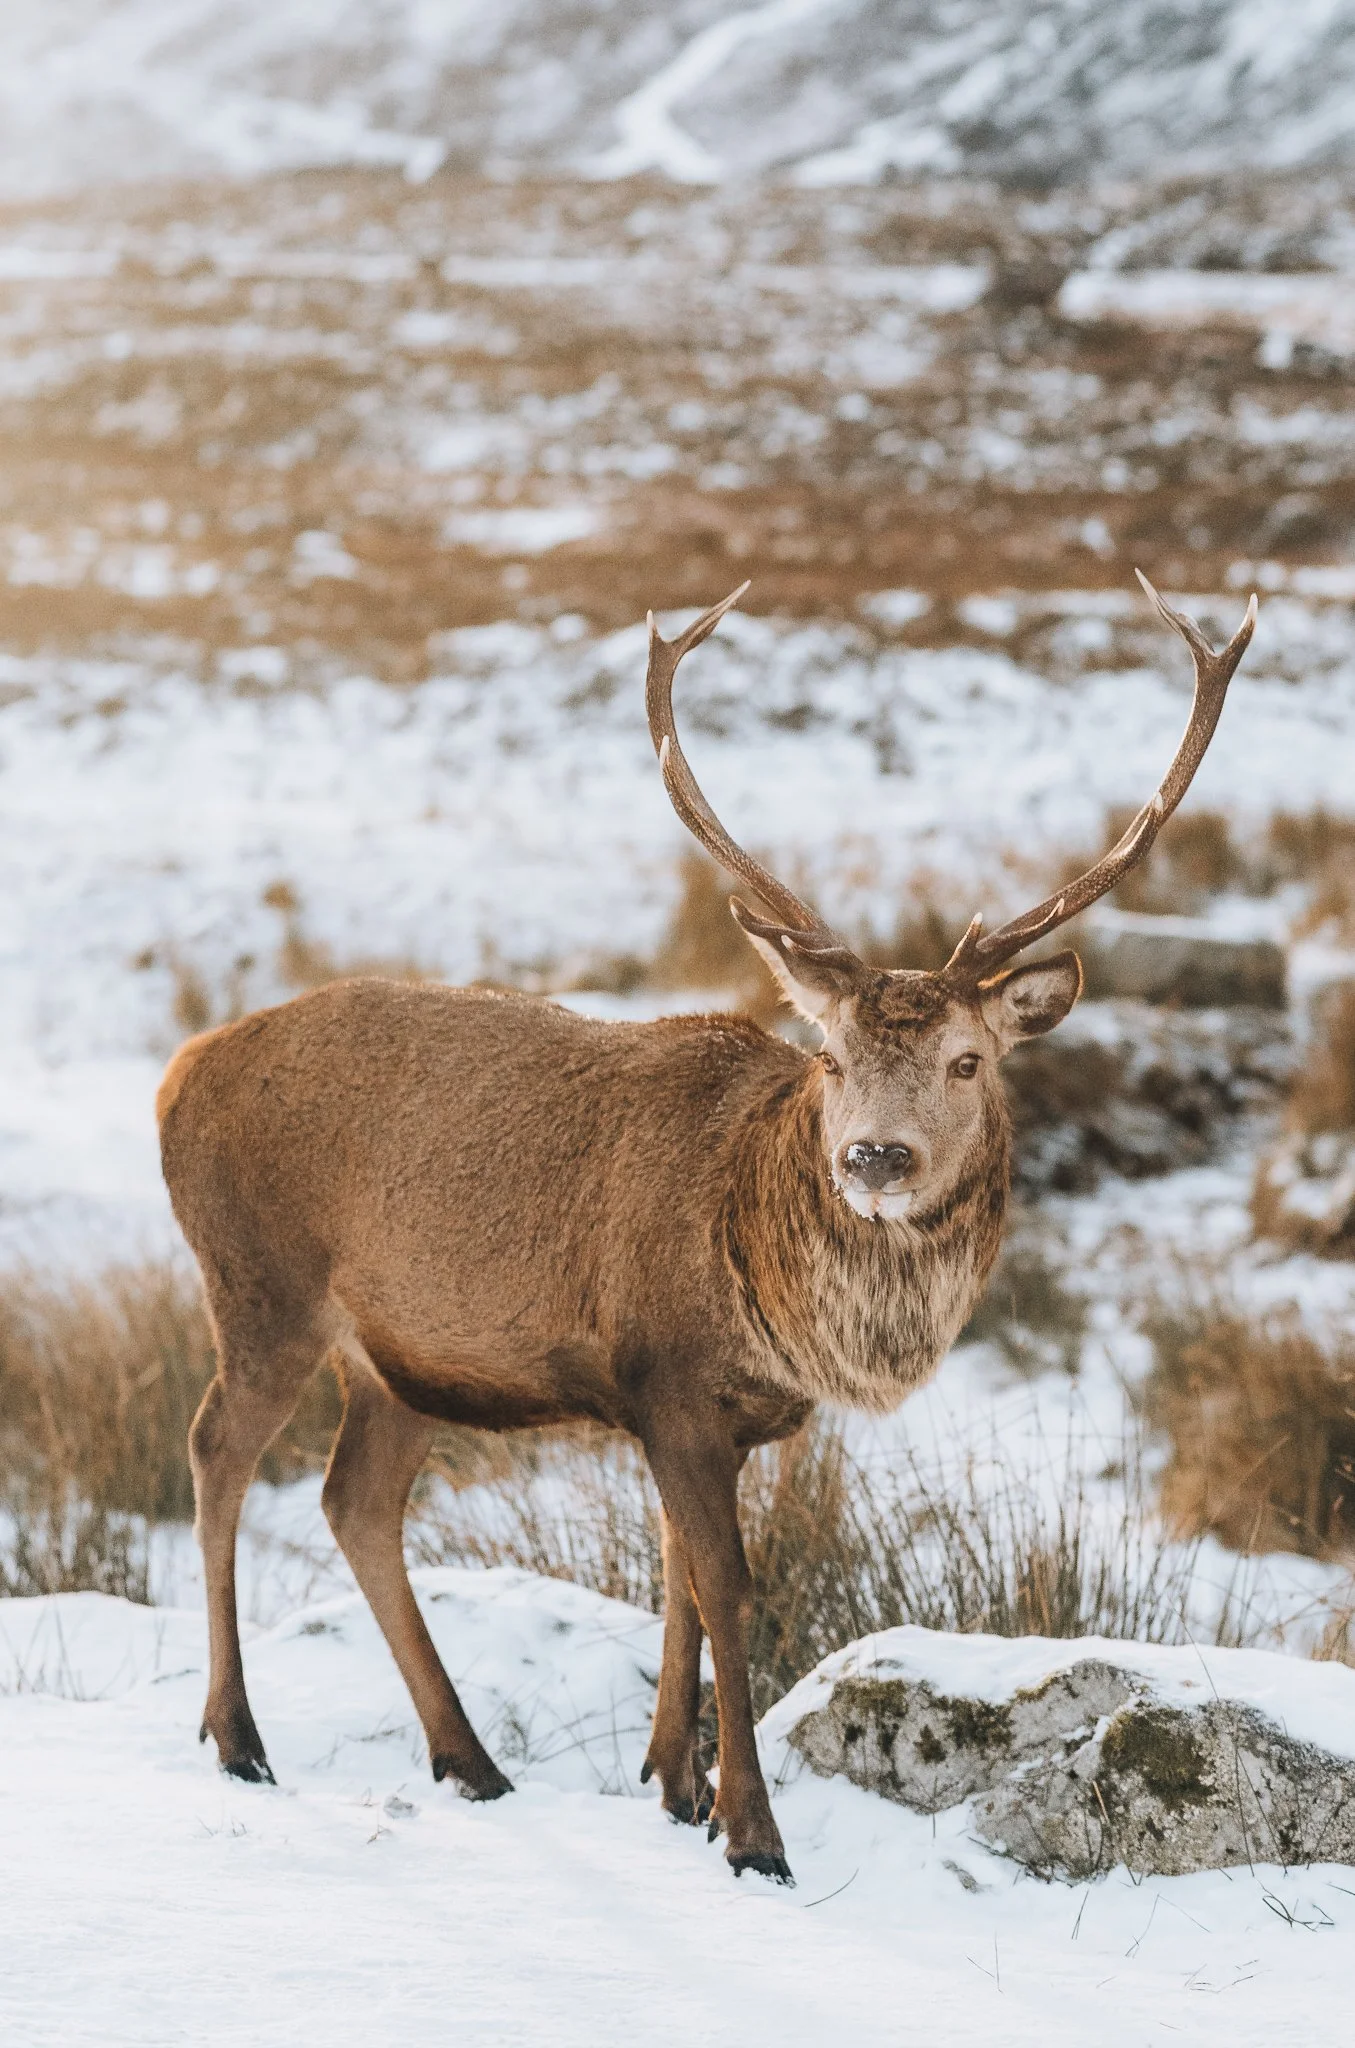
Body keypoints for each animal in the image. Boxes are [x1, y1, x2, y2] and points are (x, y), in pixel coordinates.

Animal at [158, 572, 1256, 1885]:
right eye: (828, 1055)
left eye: (967, 1057)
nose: (872, 1156)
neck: (781, 1306)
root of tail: (179, 1069)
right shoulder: (668, 1376)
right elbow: (727, 1584)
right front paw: (750, 1831)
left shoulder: (711, 1415)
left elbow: (678, 1572)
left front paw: (672, 1782)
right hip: (257, 1285)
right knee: (217, 1451)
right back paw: (237, 1735)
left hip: (400, 1356)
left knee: (352, 1497)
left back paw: (467, 1757)